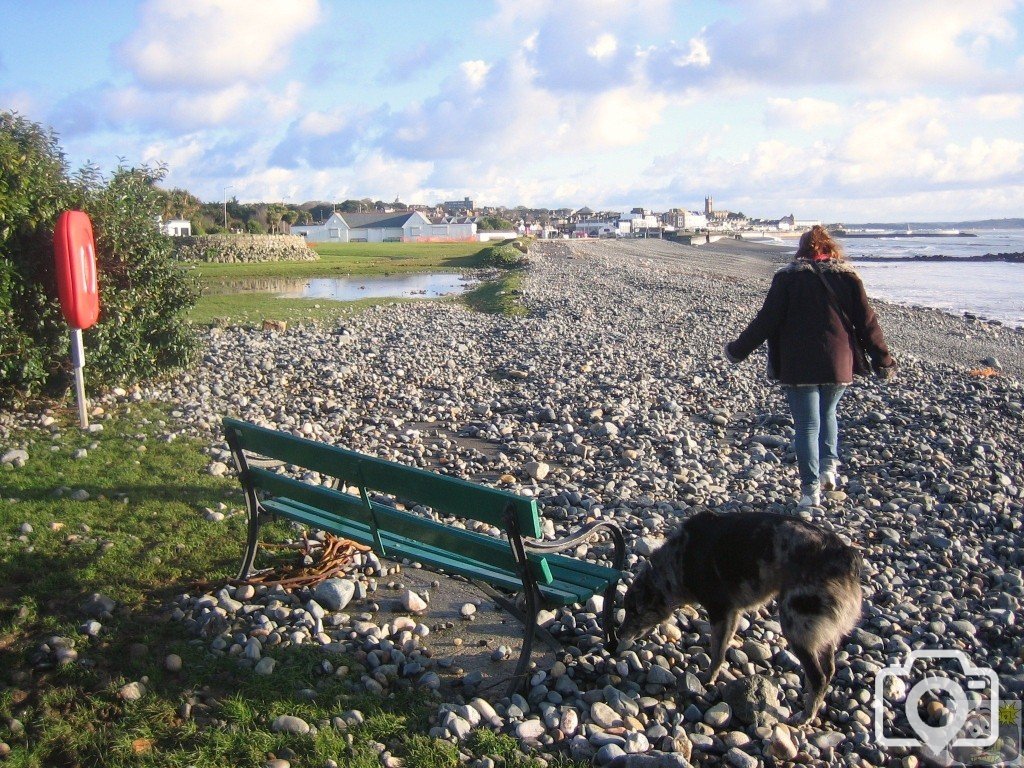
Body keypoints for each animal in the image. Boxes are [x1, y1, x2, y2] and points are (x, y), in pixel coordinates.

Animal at [614, 514, 864, 724]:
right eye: (627, 609)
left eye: (634, 611)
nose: (619, 634)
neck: (677, 561)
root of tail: (847, 557)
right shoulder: (733, 614)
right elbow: (722, 650)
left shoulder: (720, 612)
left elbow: (716, 653)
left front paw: (708, 679)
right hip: (821, 635)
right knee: (829, 671)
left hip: (796, 626)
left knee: (818, 677)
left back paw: (805, 716)